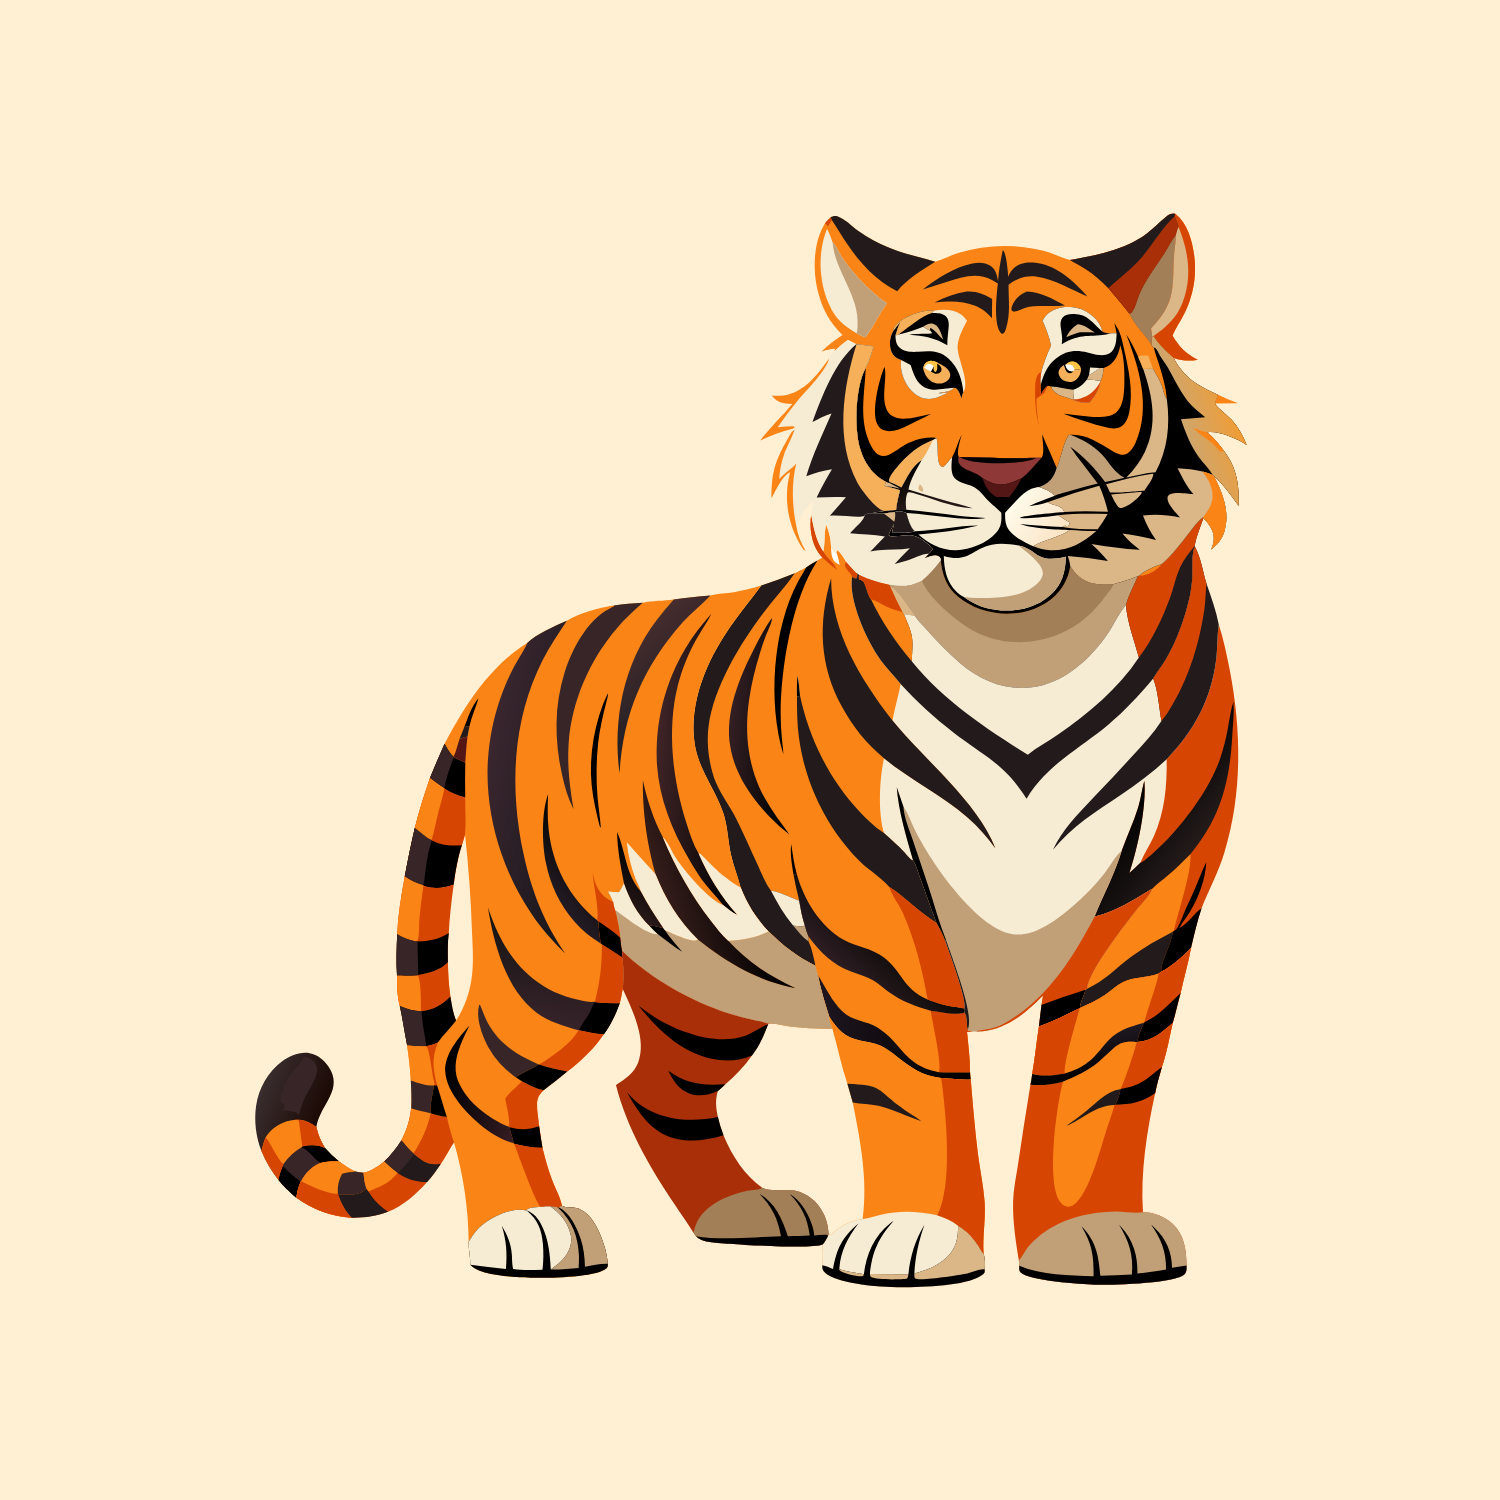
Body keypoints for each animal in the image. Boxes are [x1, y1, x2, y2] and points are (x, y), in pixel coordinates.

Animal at [256, 213, 1241, 1286]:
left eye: (1072, 368)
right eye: (932, 368)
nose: (1000, 475)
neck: (1023, 643)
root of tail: (500, 672)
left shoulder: (1151, 893)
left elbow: (1101, 1080)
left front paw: (1090, 1232)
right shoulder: (873, 894)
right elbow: (912, 1078)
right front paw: (916, 1235)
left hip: (705, 978)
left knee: (651, 1089)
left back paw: (741, 1208)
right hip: (556, 946)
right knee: (477, 1065)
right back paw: (525, 1231)